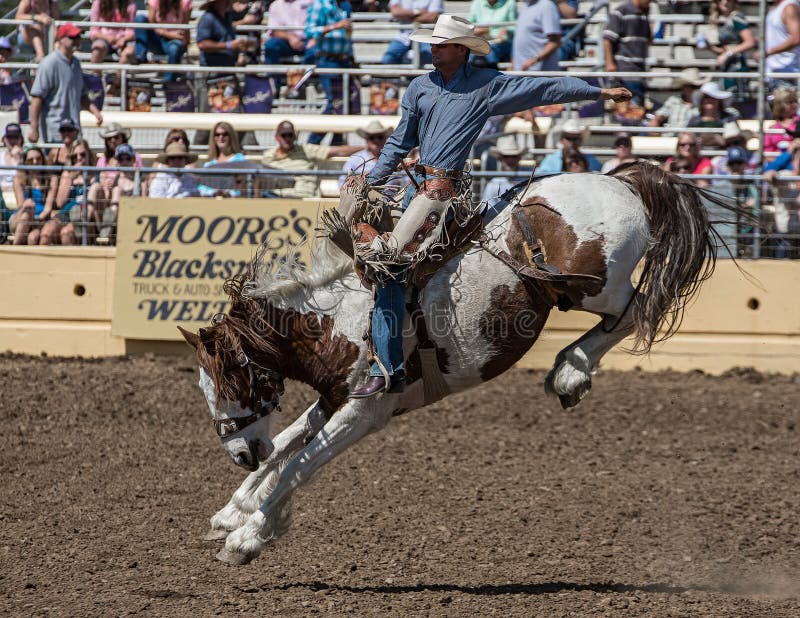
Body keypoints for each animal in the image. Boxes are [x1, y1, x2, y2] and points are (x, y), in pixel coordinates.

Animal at [180, 160, 736, 564]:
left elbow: (300, 463)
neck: (341, 318)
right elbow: (288, 444)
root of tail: (619, 180)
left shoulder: (365, 411)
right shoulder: (333, 398)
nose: (238, 452)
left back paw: (570, 372)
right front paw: (234, 510)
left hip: (597, 287)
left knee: (635, 311)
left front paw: (248, 536)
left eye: (231, 378)